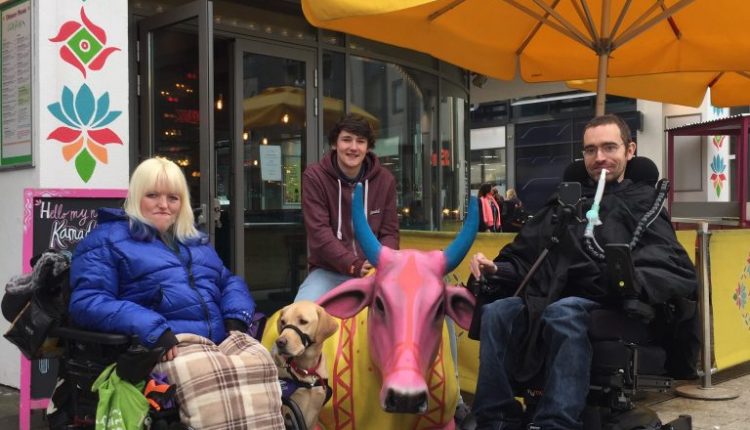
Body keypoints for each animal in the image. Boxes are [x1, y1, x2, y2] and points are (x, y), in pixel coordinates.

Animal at [274, 300, 338, 428]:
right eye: (283, 322)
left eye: (303, 321)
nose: (279, 342)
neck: (306, 370)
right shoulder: (288, 411)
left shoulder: (315, 410)